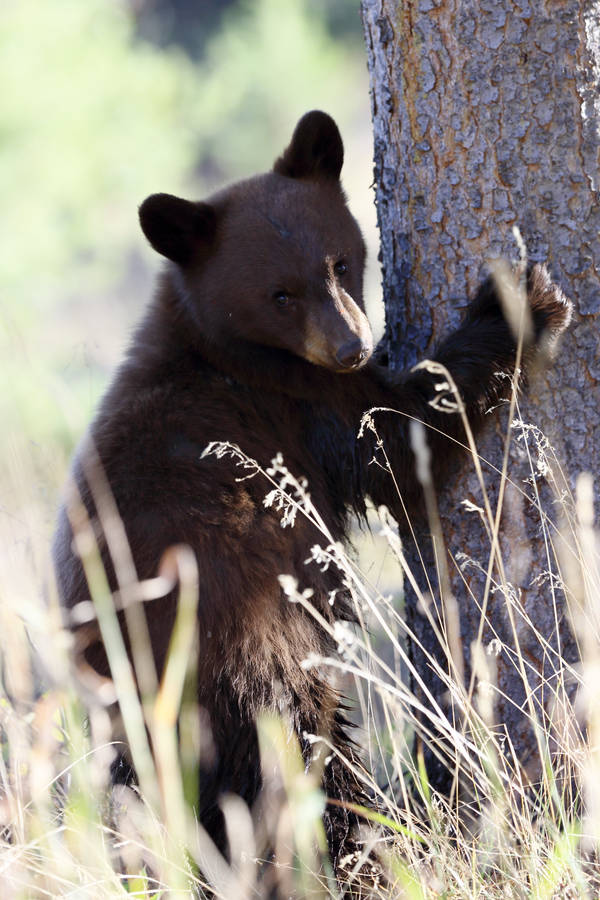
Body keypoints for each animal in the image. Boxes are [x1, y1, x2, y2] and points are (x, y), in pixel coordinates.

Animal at [52, 110, 571, 886]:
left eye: (341, 262)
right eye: (279, 294)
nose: (352, 345)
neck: (225, 350)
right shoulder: (298, 412)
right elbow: (400, 439)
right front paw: (518, 303)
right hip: (250, 657)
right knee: (301, 762)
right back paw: (370, 850)